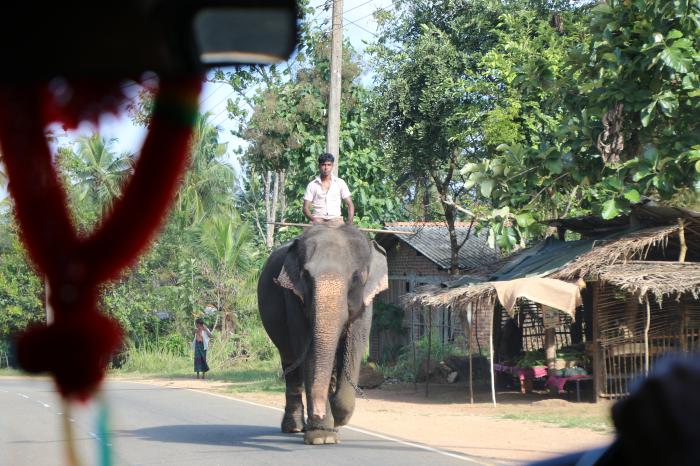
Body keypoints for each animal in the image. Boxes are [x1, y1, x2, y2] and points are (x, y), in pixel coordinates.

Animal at [258, 223, 388, 445]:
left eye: (357, 278)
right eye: (305, 276)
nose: (318, 413)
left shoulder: (366, 302)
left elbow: (354, 347)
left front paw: (336, 417)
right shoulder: (293, 296)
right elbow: (306, 351)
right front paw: (322, 437)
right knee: (290, 362)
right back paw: (295, 428)